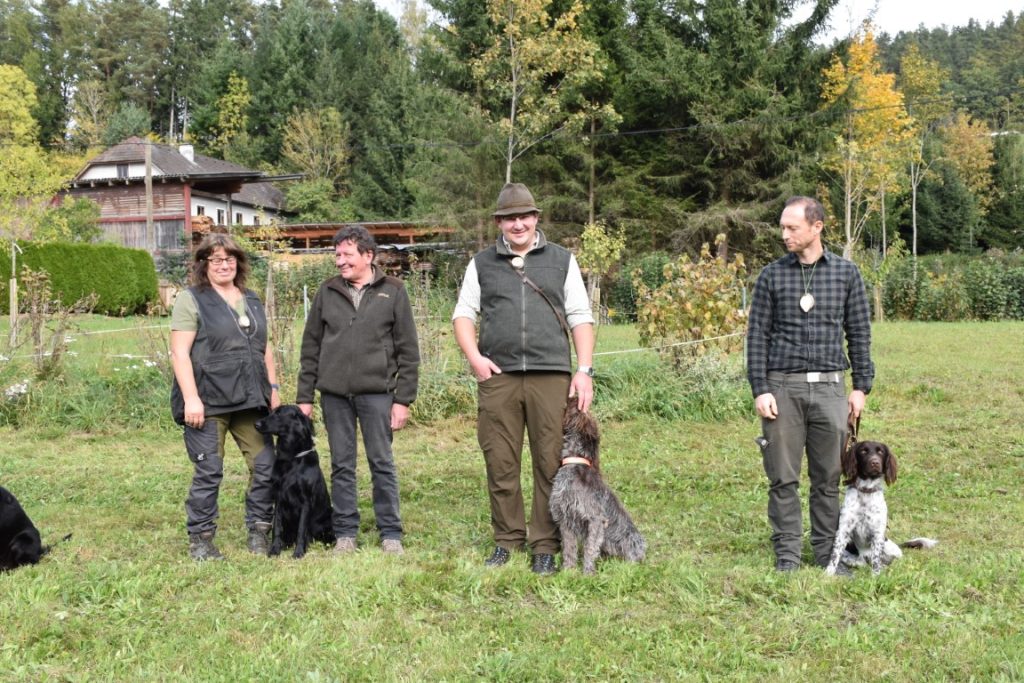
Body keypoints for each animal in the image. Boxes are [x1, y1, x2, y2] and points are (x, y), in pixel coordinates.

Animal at [253, 405, 333, 557]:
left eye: (279, 414)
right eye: (272, 411)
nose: (256, 424)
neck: (291, 459)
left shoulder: (306, 501)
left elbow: (301, 530)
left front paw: (299, 552)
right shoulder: (278, 499)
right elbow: (277, 527)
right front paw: (275, 549)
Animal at [548, 397, 643, 573]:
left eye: (576, 407)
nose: (574, 396)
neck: (575, 462)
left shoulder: (596, 520)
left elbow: (590, 548)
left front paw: (587, 572)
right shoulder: (566, 519)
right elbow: (569, 548)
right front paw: (568, 570)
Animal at [827, 438, 937, 577]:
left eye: (880, 452)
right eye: (863, 451)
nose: (875, 463)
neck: (866, 491)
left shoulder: (878, 533)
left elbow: (876, 559)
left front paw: (875, 576)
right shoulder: (843, 529)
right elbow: (835, 554)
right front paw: (828, 573)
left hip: (891, 549)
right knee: (858, 561)